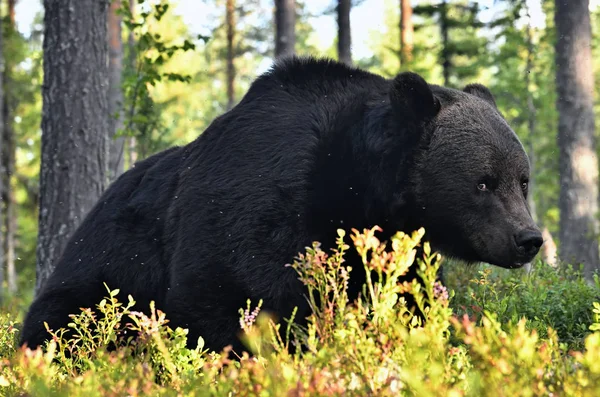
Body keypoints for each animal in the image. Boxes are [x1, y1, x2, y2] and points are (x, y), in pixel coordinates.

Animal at [19, 55, 544, 352]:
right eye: (484, 183)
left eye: (522, 181)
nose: (529, 239)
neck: (352, 188)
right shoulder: (254, 202)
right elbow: (233, 295)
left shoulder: (390, 246)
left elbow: (405, 298)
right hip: (104, 270)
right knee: (64, 324)